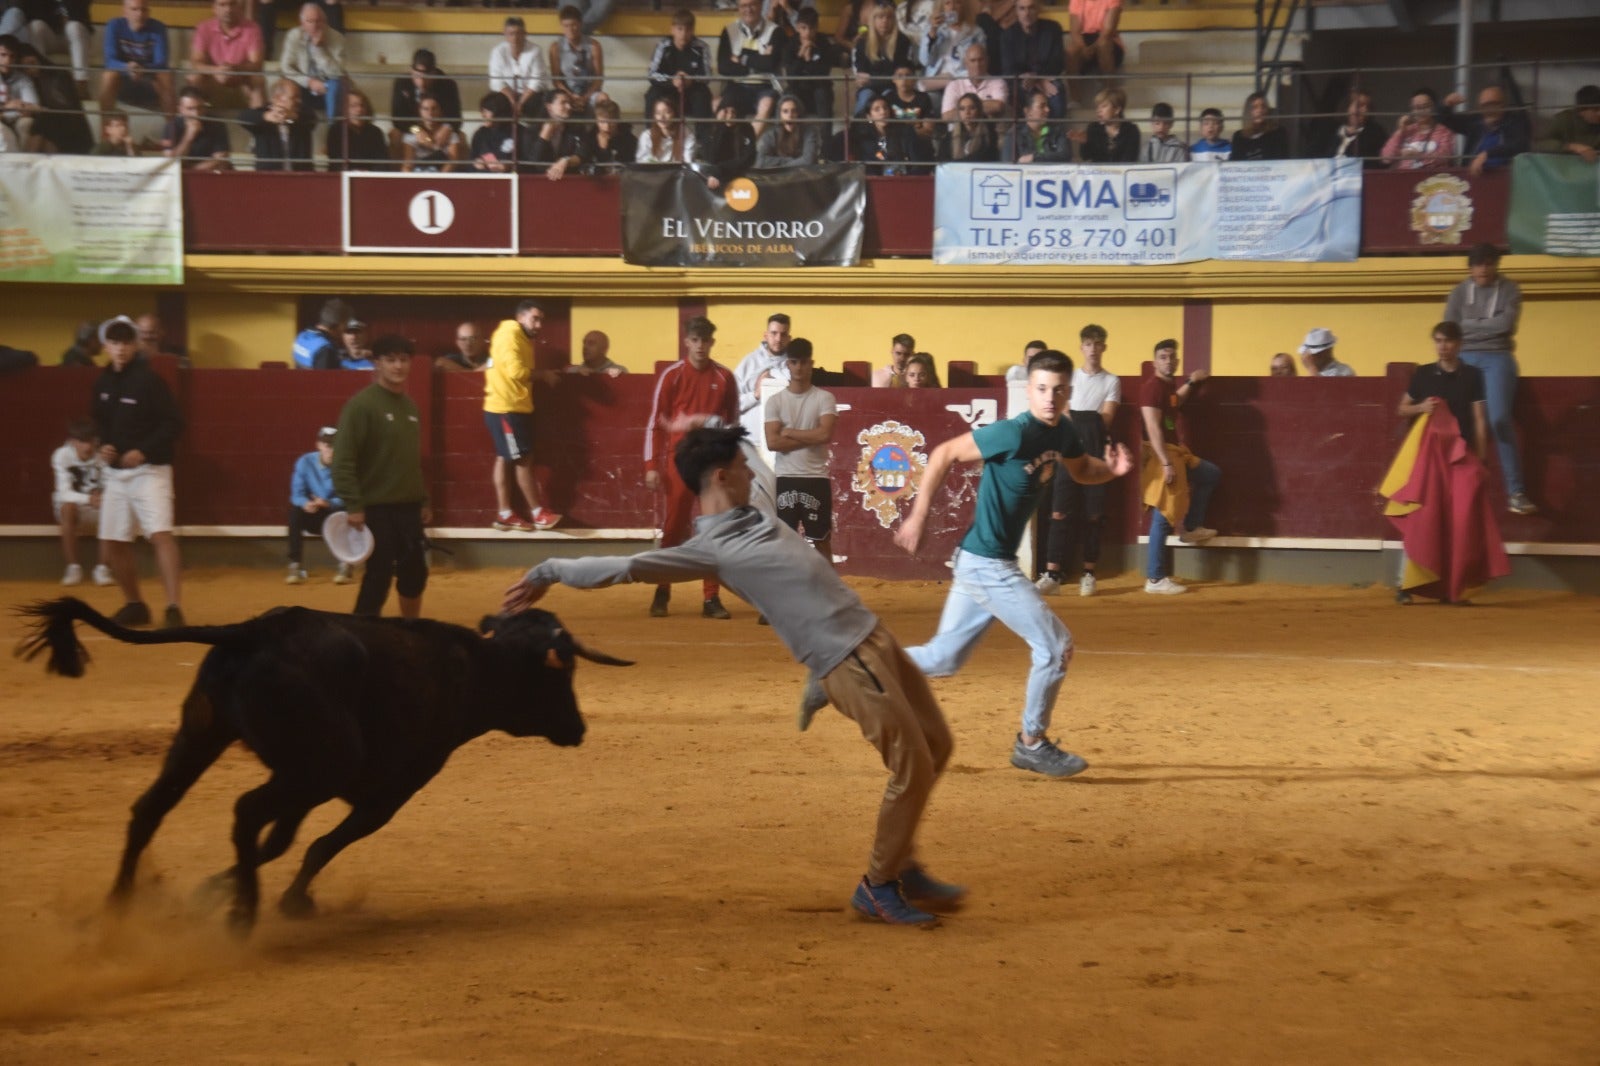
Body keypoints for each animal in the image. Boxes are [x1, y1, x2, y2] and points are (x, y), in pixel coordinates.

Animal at [18, 592, 633, 934]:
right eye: (563, 673)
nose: (578, 729)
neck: (478, 667)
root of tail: (255, 629)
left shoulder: (303, 786)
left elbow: (279, 842)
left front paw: (213, 889)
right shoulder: (387, 792)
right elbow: (319, 843)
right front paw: (289, 900)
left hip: (202, 737)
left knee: (150, 809)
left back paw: (118, 907)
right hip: (317, 766)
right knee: (243, 811)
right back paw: (241, 917)